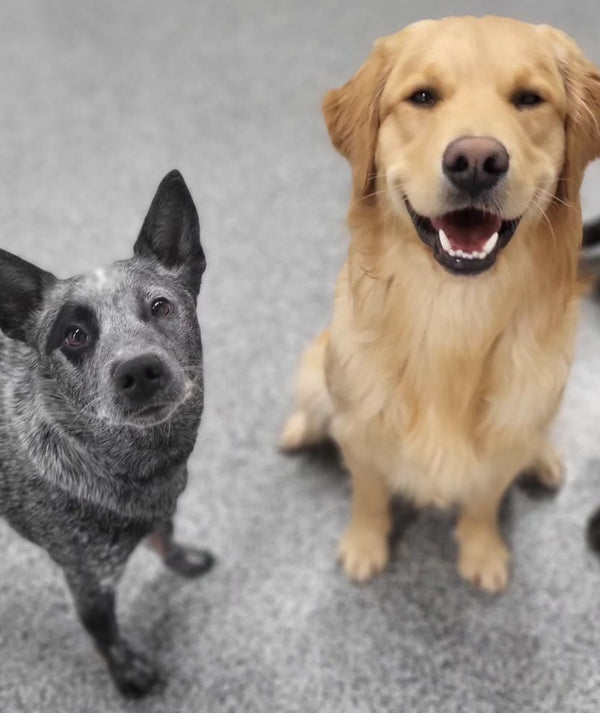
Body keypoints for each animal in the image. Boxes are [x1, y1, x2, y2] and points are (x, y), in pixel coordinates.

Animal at [0, 168, 214, 696]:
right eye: (74, 335)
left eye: (160, 307)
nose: (138, 370)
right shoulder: (89, 579)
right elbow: (105, 634)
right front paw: (129, 672)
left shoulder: (161, 508)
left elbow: (167, 533)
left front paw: (180, 558)